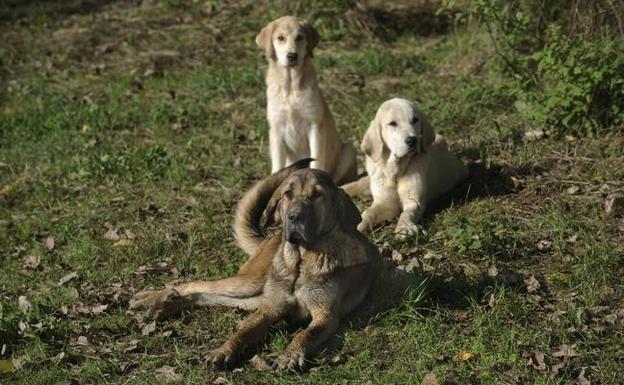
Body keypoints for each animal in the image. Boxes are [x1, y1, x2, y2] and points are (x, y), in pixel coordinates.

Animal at [129, 159, 380, 368]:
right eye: (288, 194)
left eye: (317, 195)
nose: (294, 217)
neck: (300, 261)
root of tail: (271, 237)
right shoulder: (270, 308)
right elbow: (244, 331)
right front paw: (223, 351)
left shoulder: (324, 315)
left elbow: (304, 334)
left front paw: (290, 356)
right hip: (249, 283)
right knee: (197, 285)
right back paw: (149, 299)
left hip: (252, 297)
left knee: (207, 296)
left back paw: (165, 305)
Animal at [256, 17, 358, 185]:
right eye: (280, 38)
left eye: (300, 37)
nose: (292, 56)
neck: (290, 88)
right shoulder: (276, 130)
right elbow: (277, 166)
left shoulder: (315, 126)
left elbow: (316, 161)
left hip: (349, 150)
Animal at [342, 97, 468, 236]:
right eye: (392, 123)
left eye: (415, 120)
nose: (412, 140)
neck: (396, 170)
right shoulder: (385, 202)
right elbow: (368, 213)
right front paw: (358, 226)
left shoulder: (413, 200)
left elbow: (406, 213)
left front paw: (404, 228)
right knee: (360, 183)